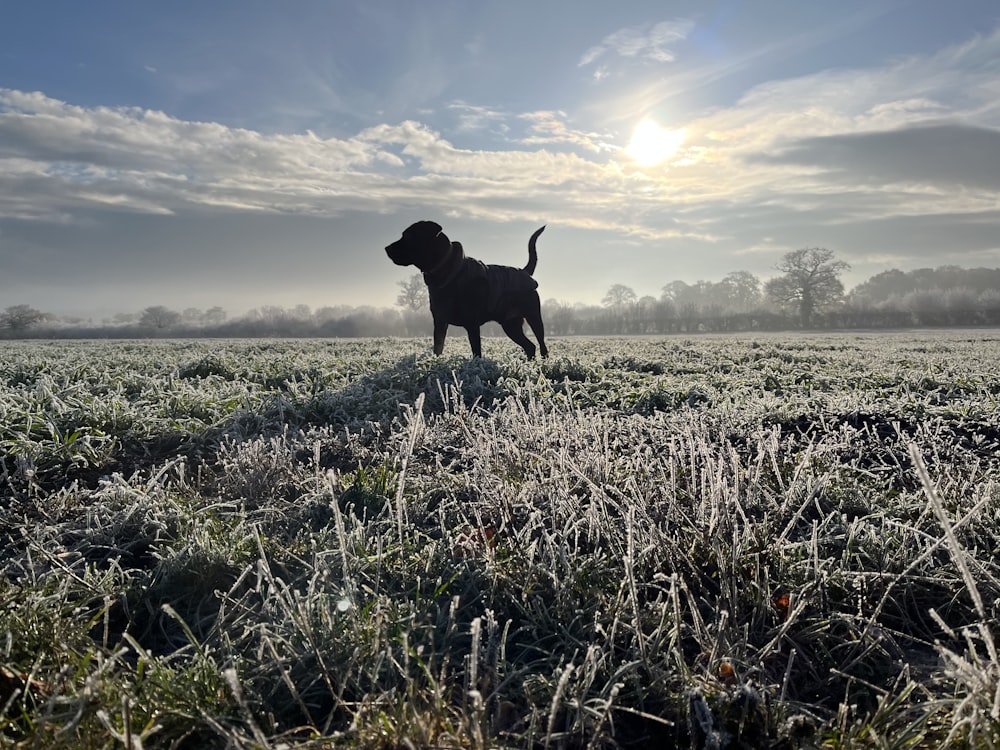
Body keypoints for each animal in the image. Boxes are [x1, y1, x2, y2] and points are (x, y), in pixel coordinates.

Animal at [386, 222, 552, 360]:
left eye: (408, 236)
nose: (386, 248)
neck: (446, 269)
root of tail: (525, 272)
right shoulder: (440, 321)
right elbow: (438, 348)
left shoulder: (472, 324)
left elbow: (476, 351)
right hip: (510, 325)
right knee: (530, 346)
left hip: (534, 317)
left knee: (542, 346)